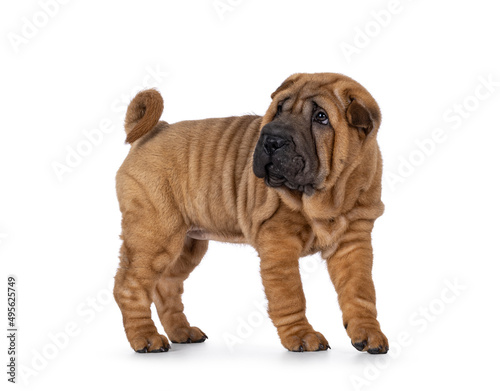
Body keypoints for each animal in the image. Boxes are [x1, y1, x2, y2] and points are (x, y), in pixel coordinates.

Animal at [114, 71, 390, 356]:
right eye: (278, 110)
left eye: (321, 117)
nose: (272, 139)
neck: (329, 194)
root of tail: (154, 131)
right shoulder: (279, 243)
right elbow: (290, 296)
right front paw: (302, 336)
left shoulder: (353, 243)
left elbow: (361, 293)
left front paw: (369, 334)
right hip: (155, 235)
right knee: (129, 287)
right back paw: (147, 338)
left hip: (187, 244)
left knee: (166, 286)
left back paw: (183, 332)